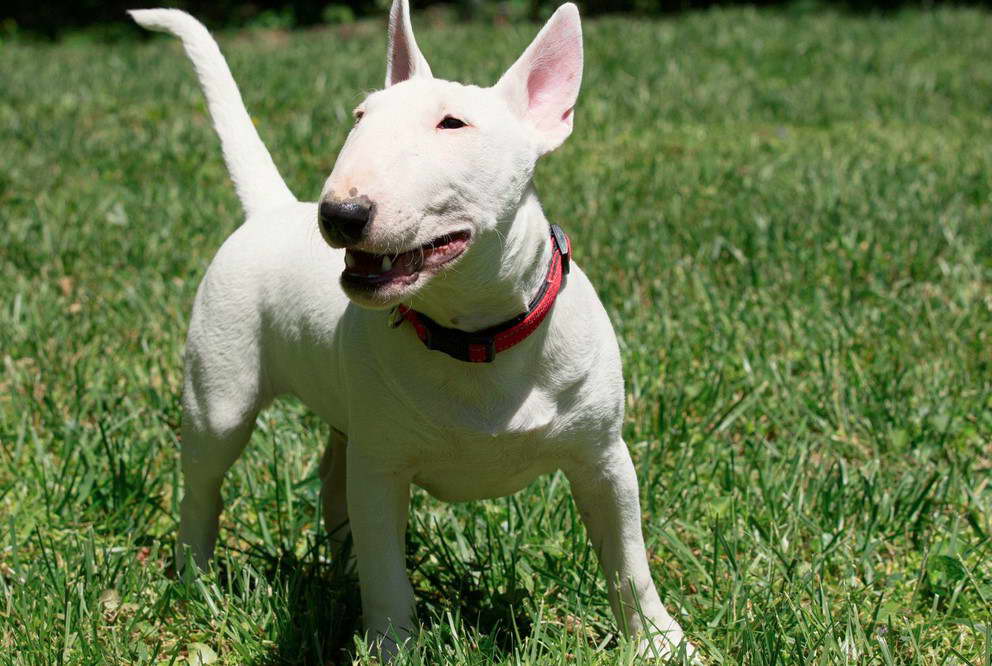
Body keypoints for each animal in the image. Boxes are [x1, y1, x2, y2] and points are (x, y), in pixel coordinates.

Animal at [130, 2, 696, 660]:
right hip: (219, 396)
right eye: (359, 118)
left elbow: (628, 558)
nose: (339, 214)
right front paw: (391, 648)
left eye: (453, 123)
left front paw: (661, 642)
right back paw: (194, 580)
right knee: (206, 486)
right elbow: (387, 571)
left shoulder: (603, 457)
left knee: (333, 480)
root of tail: (271, 210)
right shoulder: (383, 469)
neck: (474, 335)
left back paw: (337, 568)